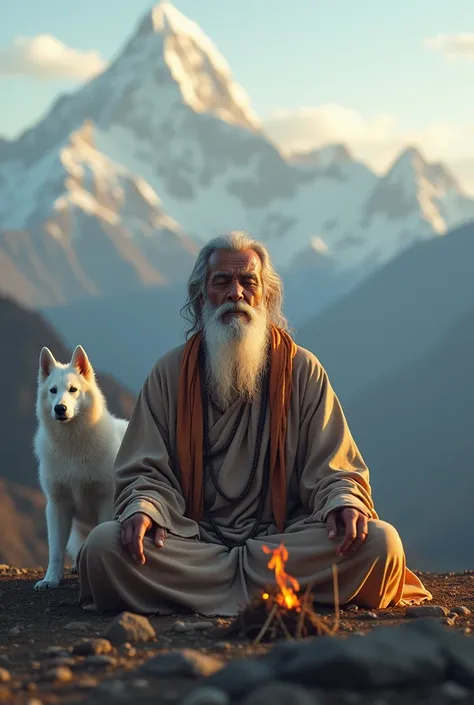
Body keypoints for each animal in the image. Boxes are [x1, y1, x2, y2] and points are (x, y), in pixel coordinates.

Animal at [32, 342, 130, 588]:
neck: (73, 446)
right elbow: (55, 551)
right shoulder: (57, 505)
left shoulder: (105, 500)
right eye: (53, 391)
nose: (60, 409)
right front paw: (50, 579)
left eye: (73, 389)